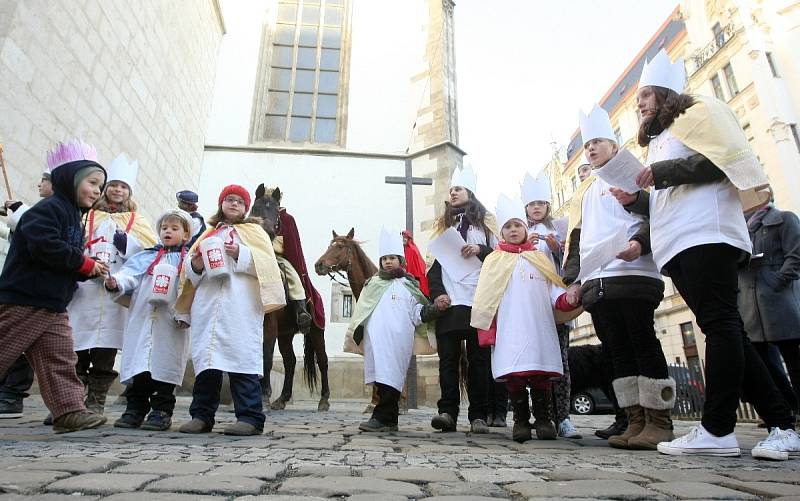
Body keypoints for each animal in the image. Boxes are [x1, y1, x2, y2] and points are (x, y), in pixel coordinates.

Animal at [255, 186, 332, 412]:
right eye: (256, 207)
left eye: (277, 213)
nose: (268, 231)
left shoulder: (269, 324)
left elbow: (266, 357)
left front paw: (263, 395)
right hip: (286, 334)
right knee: (290, 362)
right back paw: (282, 398)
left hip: (316, 330)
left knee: (322, 361)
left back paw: (324, 400)